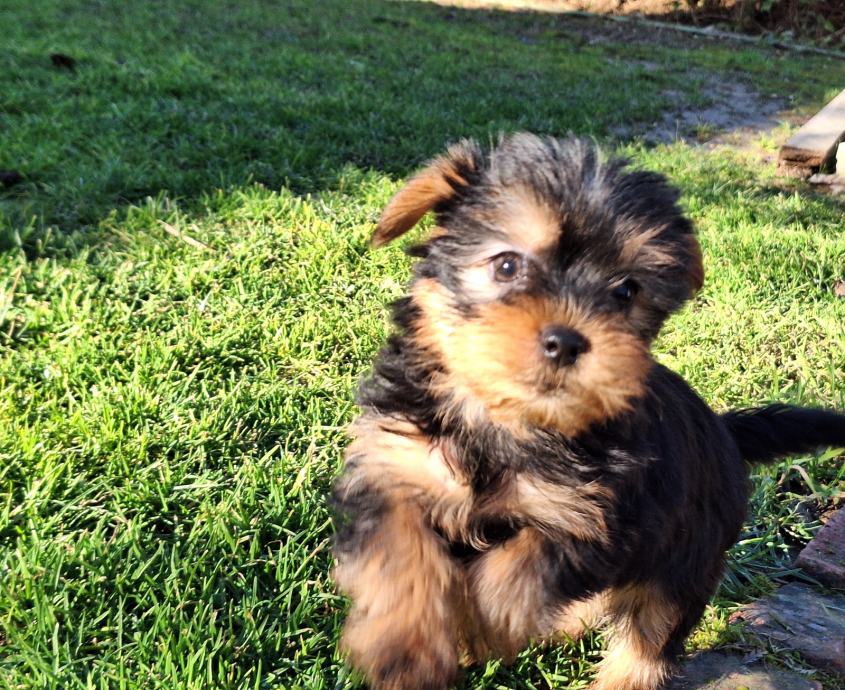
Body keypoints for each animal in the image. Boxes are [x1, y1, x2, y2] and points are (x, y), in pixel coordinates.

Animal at [328, 134, 844, 688]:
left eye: (626, 290)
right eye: (506, 265)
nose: (566, 341)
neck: (503, 421)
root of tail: (724, 433)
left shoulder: (590, 516)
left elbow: (519, 571)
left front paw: (480, 627)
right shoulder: (395, 468)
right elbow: (400, 554)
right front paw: (403, 647)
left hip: (687, 557)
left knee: (648, 636)